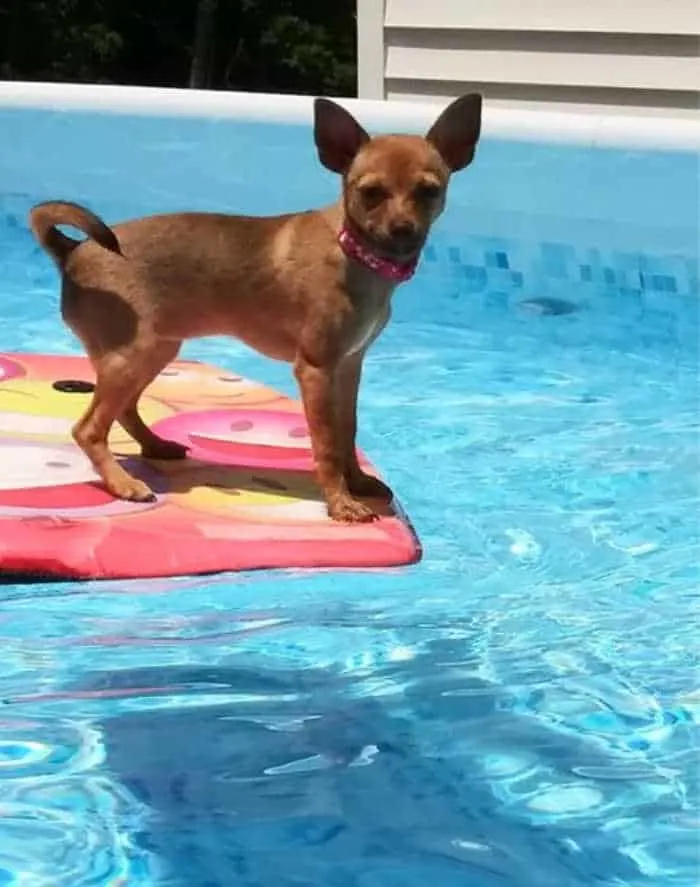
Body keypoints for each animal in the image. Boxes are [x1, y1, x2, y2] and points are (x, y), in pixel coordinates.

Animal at [30, 95, 484, 528]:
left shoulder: (348, 366)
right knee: (88, 429)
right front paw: (340, 504)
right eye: (370, 193)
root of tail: (73, 251)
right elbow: (326, 443)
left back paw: (154, 447)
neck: (353, 250)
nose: (403, 230)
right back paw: (122, 483)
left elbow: (346, 430)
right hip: (130, 356)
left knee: (123, 409)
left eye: (429, 191)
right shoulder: (317, 370)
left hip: (155, 350)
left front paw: (356, 483)